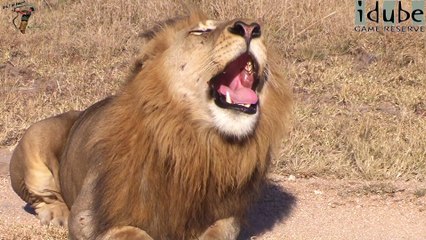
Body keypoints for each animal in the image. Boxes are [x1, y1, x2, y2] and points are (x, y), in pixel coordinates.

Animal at [9, 11, 292, 240]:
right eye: (200, 31)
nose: (250, 28)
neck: (191, 141)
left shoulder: (223, 215)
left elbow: (220, 231)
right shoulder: (88, 218)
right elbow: (132, 232)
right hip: (34, 138)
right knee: (43, 196)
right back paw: (55, 214)